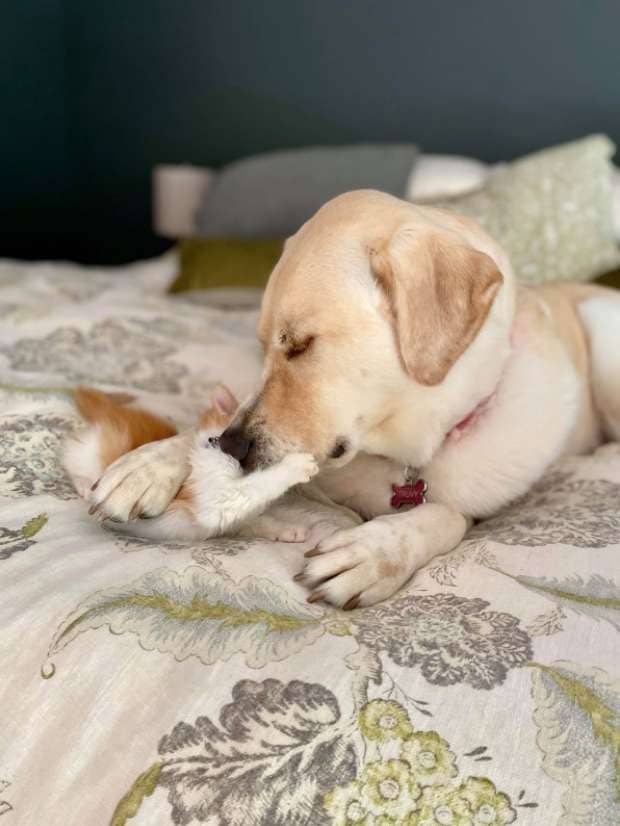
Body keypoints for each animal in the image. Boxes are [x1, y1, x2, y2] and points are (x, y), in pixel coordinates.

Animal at [83, 192, 620, 604]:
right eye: (262, 345)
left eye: (300, 344)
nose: (232, 448)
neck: (403, 453)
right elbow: (206, 427)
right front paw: (152, 463)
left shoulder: (475, 505)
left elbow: (444, 514)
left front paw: (373, 552)